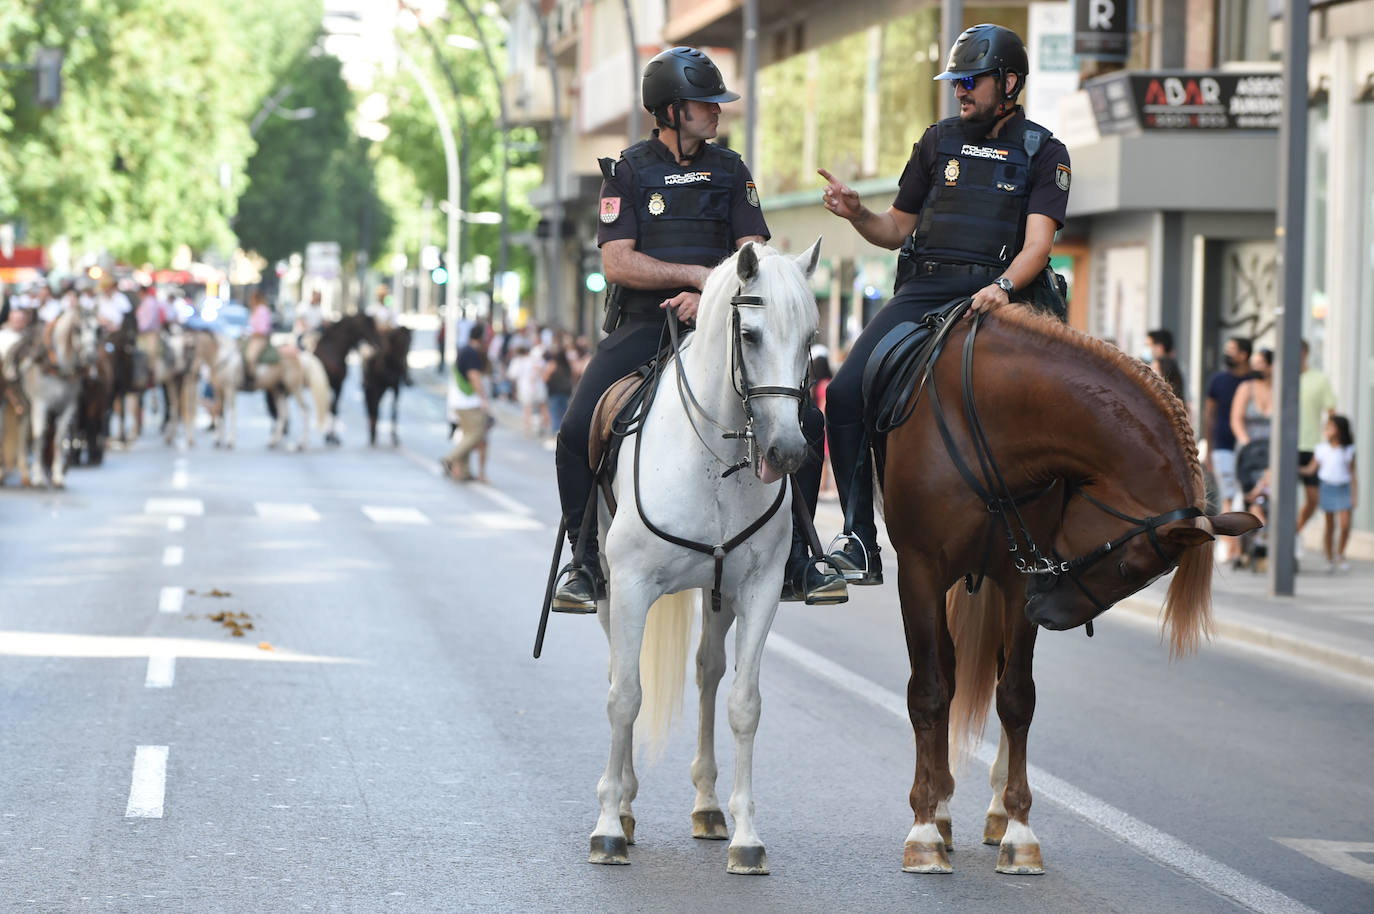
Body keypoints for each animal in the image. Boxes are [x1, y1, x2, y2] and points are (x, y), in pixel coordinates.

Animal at [310, 313, 382, 446]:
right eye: (369, 327)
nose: (378, 345)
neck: (333, 350)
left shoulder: (338, 385)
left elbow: (334, 408)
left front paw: (332, 436)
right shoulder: (332, 384)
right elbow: (332, 408)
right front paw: (330, 436)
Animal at [579, 240, 822, 875]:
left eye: (811, 336)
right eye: (751, 335)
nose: (788, 452)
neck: (715, 461)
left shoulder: (760, 589)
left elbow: (744, 703)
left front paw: (747, 836)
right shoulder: (632, 584)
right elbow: (626, 696)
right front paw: (608, 825)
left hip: (719, 595)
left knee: (708, 671)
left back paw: (710, 808)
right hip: (609, 588)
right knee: (618, 673)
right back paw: (625, 806)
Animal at [867, 303, 1260, 876]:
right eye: (1131, 569)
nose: (1047, 612)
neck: (995, 417)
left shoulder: (1017, 578)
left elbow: (1016, 699)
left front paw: (1019, 830)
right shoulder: (919, 572)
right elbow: (929, 692)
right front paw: (923, 828)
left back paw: (990, 811)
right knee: (946, 671)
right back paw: (938, 810)